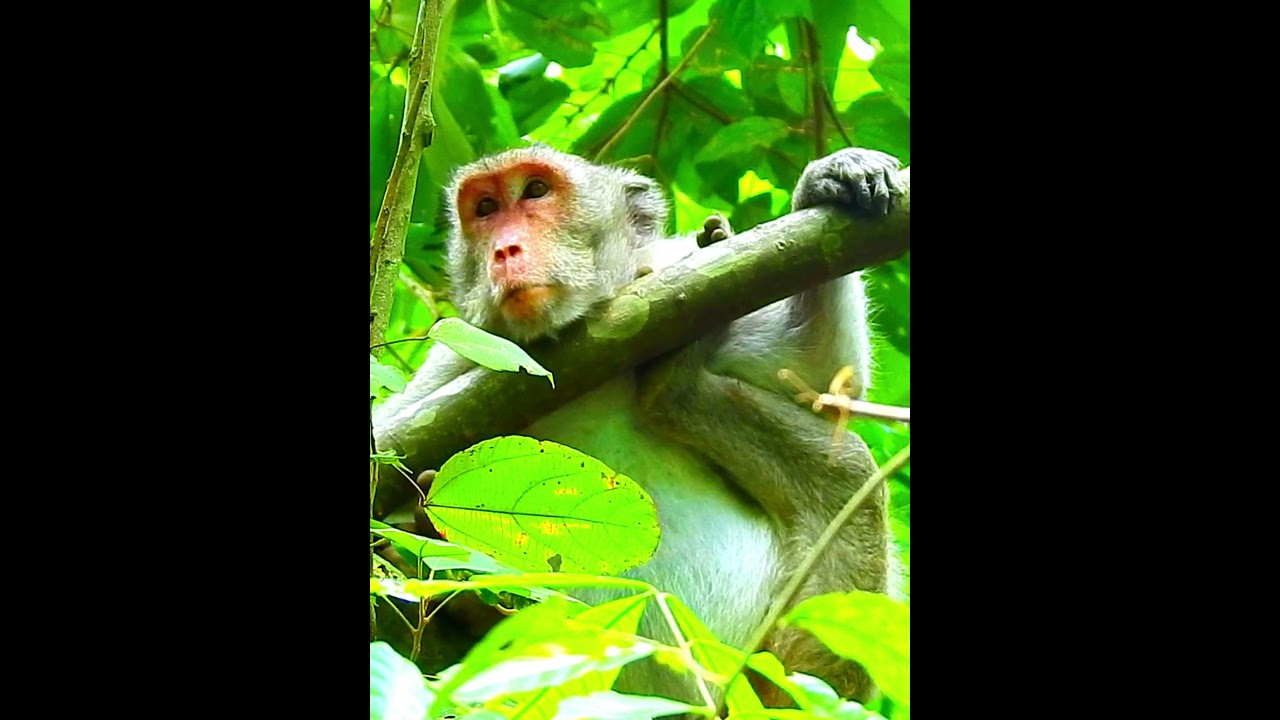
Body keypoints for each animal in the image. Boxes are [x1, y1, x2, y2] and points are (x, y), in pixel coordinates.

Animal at [373, 143, 907, 707]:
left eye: (536, 191)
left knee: (846, 474)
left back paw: (678, 391)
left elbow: (824, 381)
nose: (505, 250)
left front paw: (829, 183)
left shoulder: (685, 273)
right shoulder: (464, 353)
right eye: (485, 208)